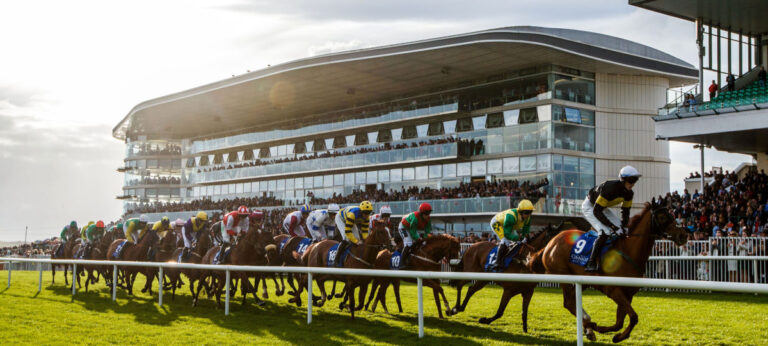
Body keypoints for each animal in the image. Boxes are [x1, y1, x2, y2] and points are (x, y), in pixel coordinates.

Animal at [532, 201, 688, 342]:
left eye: (673, 215)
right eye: (662, 217)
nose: (683, 235)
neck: (629, 251)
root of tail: (550, 243)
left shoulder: (628, 294)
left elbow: (621, 322)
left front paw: (616, 335)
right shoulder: (614, 290)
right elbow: (633, 317)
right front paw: (604, 330)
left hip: (582, 280)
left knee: (572, 302)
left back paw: (589, 327)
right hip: (564, 275)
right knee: (569, 303)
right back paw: (589, 325)